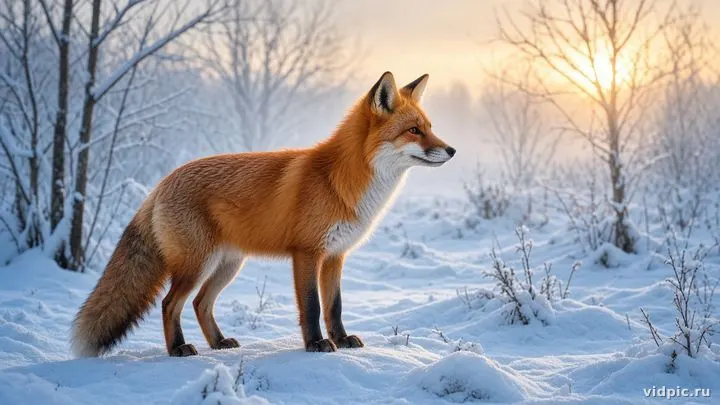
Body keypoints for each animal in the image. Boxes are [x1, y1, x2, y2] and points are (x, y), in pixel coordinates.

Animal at [71, 71, 455, 357]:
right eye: (414, 131)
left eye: (430, 127)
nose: (452, 150)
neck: (340, 181)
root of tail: (161, 183)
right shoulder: (307, 253)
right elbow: (312, 307)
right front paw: (316, 344)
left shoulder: (335, 256)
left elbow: (335, 306)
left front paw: (342, 339)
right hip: (197, 263)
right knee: (169, 304)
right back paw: (179, 348)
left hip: (227, 265)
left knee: (199, 303)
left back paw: (218, 343)